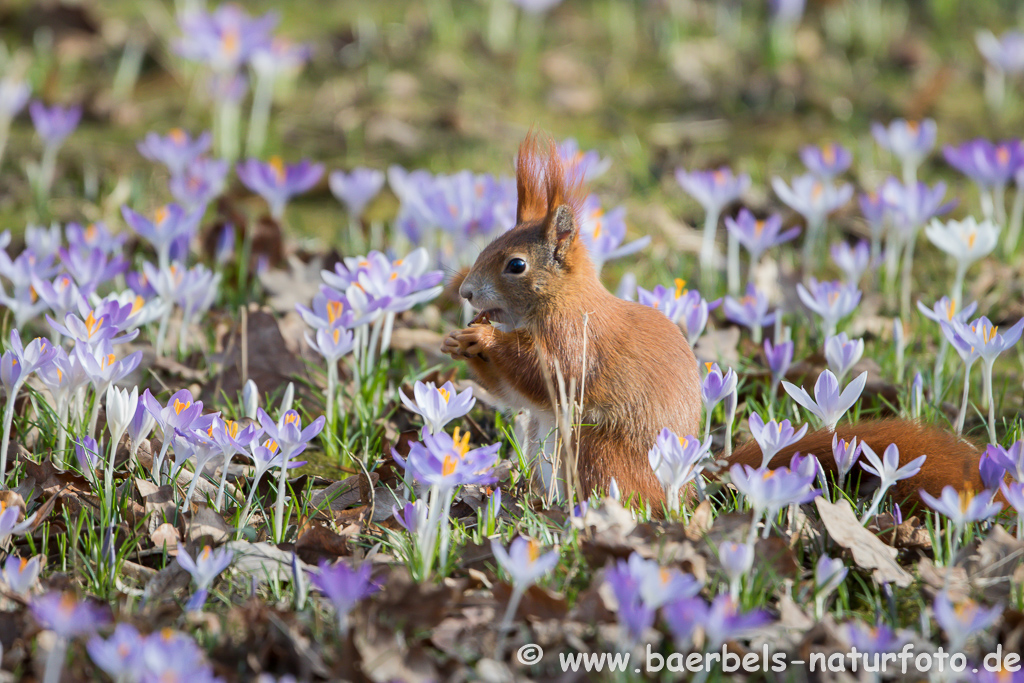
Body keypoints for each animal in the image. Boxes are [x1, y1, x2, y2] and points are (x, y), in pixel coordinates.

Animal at [440, 135, 983, 511]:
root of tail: (687, 488)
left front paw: (484, 336)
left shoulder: (577, 338)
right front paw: (459, 342)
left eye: (515, 265)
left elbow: (547, 372)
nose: (465, 292)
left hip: (593, 449)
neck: (562, 302)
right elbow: (515, 394)